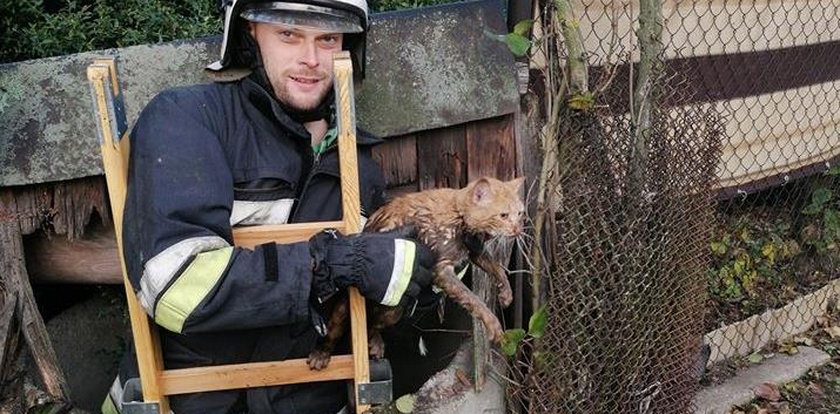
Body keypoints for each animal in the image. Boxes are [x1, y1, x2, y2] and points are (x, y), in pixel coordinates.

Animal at [306, 175, 520, 368]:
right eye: (503, 215)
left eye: (520, 214)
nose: (518, 230)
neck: (458, 218)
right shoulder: (441, 268)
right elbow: (473, 298)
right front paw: (494, 325)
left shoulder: (473, 250)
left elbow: (496, 267)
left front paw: (506, 293)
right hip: (345, 309)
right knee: (333, 333)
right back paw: (320, 355)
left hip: (393, 311)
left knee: (372, 325)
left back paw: (375, 342)